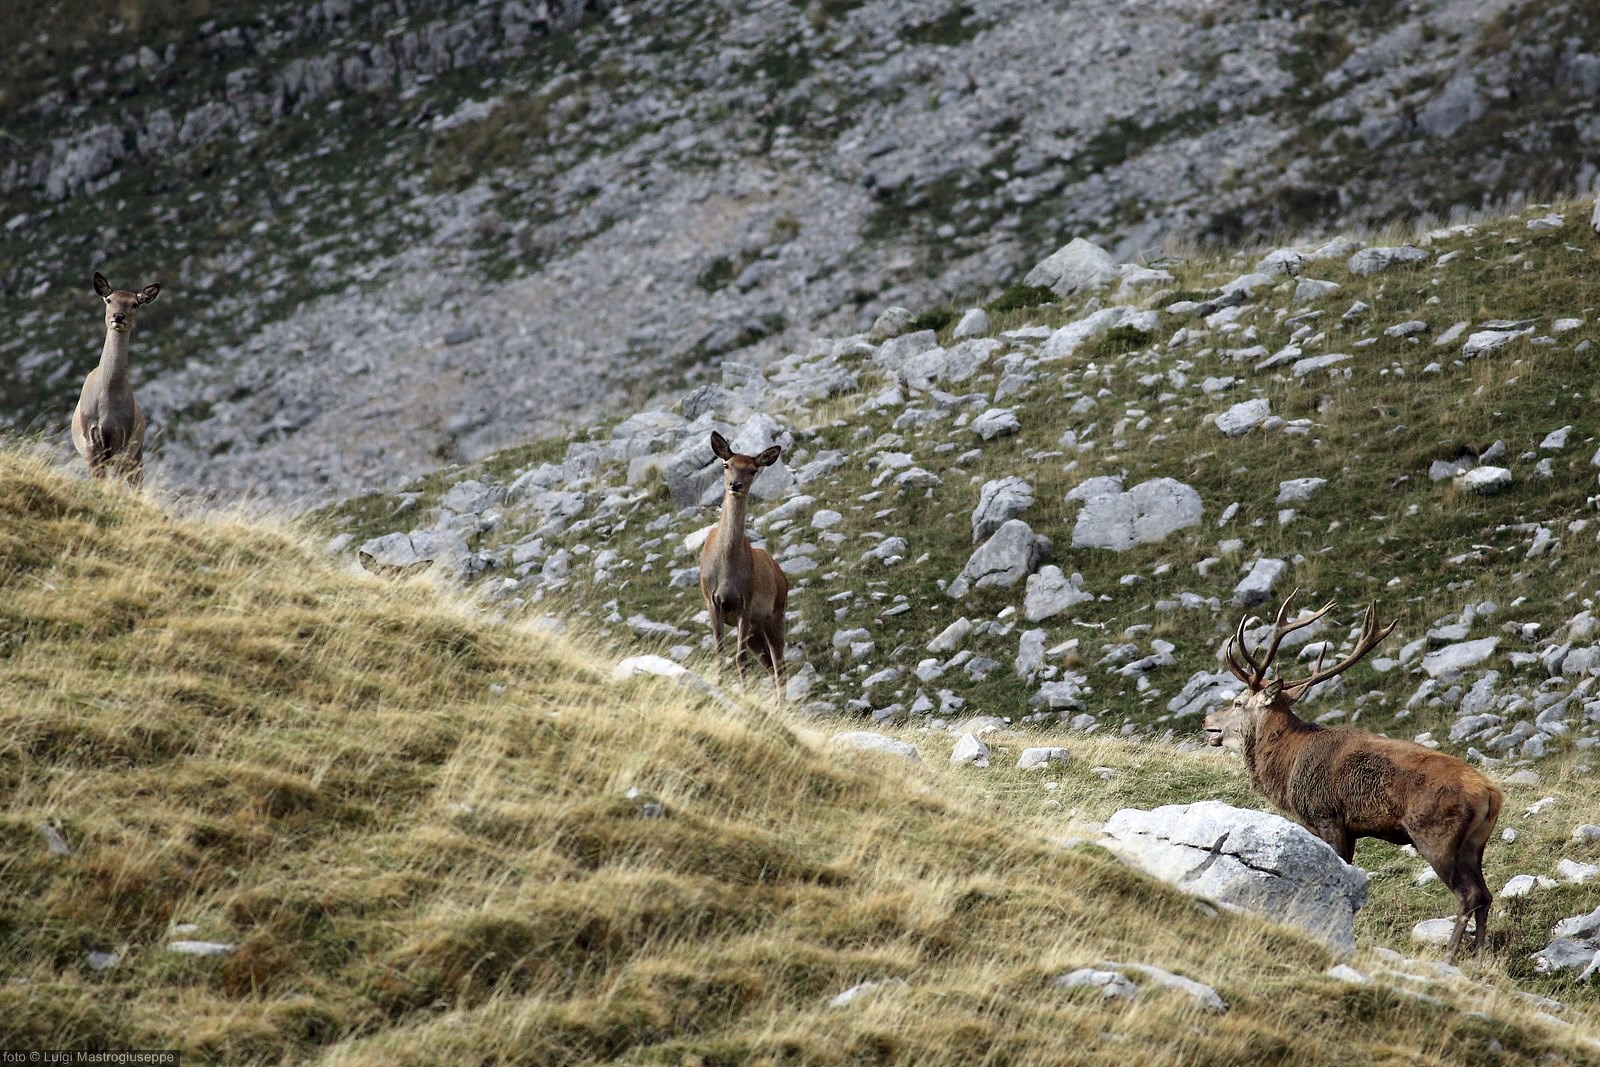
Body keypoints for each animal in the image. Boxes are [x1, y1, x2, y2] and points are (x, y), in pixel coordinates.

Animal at [72, 272, 161, 487]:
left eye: (135, 304)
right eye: (109, 299)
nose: (118, 316)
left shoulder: (122, 438)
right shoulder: (90, 439)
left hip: (136, 452)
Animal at [699, 431, 788, 695]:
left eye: (752, 470)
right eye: (726, 465)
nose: (735, 485)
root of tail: (783, 577)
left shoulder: (745, 603)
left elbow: (739, 657)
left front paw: (745, 693)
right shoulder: (711, 600)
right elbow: (720, 651)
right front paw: (719, 684)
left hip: (775, 614)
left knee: (780, 667)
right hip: (756, 630)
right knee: (769, 665)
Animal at [1203, 591, 1503, 962]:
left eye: (1237, 702)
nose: (1206, 721)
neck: (1287, 766)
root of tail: (1490, 794)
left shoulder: (1326, 814)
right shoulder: (1351, 828)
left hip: (1436, 835)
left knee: (1468, 894)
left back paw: (1449, 954)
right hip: (1475, 844)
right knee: (1485, 894)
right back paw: (1479, 956)